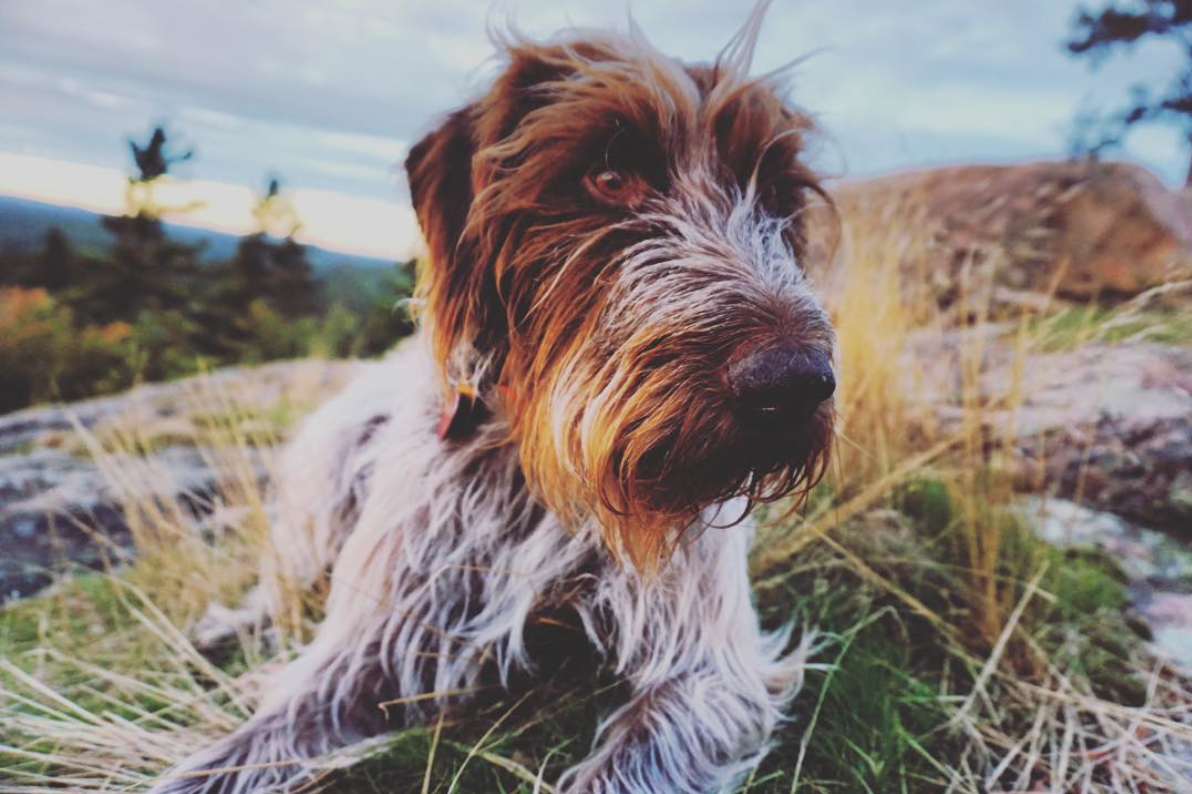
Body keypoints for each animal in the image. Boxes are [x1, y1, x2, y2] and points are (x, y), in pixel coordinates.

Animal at [153, 6, 834, 791]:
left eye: (777, 196)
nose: (795, 381)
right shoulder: (373, 649)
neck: (542, 459)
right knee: (285, 581)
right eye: (609, 176)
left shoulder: (707, 673)